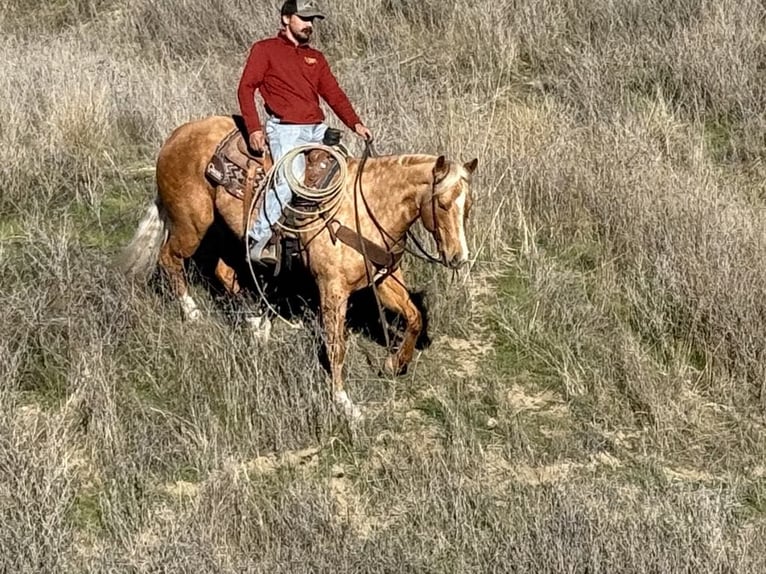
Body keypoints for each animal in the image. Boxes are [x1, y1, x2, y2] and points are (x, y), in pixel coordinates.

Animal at [122, 115, 476, 418]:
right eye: (443, 204)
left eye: (468, 206)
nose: (459, 257)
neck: (365, 207)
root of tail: (176, 136)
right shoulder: (332, 290)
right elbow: (336, 346)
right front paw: (344, 403)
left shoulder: (384, 278)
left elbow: (414, 317)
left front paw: (394, 364)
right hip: (192, 224)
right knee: (170, 258)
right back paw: (193, 313)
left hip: (224, 229)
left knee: (225, 271)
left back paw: (256, 326)